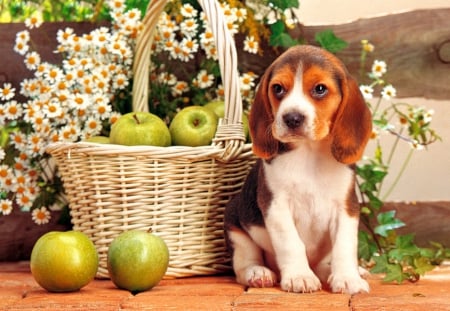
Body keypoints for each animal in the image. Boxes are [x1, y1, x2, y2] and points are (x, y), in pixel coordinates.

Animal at [225, 45, 372, 294]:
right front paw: (299, 277)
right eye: (278, 89)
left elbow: (345, 245)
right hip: (235, 221)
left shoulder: (346, 207)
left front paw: (347, 278)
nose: (292, 118)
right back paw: (258, 273)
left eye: (320, 89)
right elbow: (291, 243)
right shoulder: (276, 206)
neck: (309, 154)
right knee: (244, 262)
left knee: (324, 263)